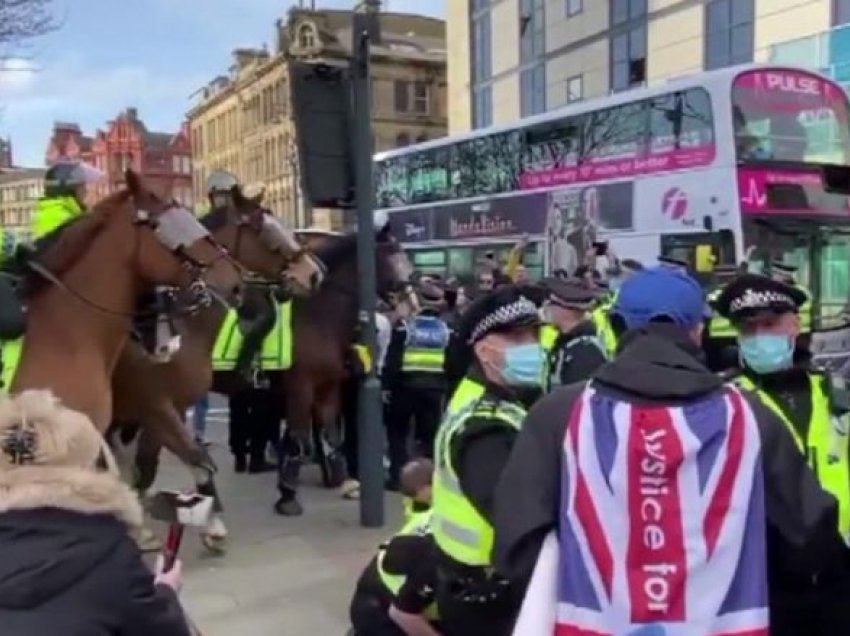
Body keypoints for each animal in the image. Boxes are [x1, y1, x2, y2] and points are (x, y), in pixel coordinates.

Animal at [111, 185, 322, 552]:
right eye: (263, 230)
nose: (312, 274)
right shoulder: (154, 406)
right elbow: (178, 459)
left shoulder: (167, 409)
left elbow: (163, 462)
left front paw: (210, 523)